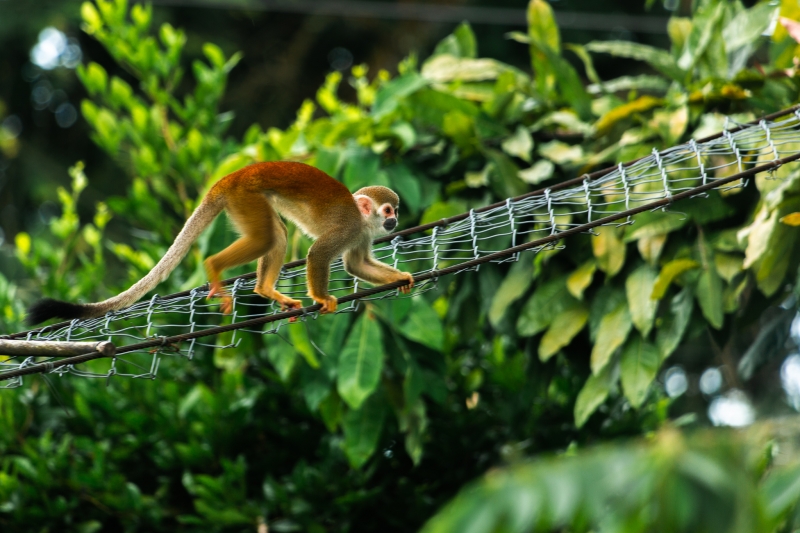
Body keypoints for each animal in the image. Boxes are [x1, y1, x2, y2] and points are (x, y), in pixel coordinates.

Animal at [26, 160, 412, 324]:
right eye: (388, 210)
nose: (394, 220)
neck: (362, 220)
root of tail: (230, 177)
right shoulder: (347, 227)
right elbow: (318, 254)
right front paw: (322, 298)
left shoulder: (361, 234)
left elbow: (356, 264)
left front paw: (402, 279)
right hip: (246, 196)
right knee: (267, 236)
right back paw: (215, 268)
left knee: (275, 235)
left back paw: (266, 290)